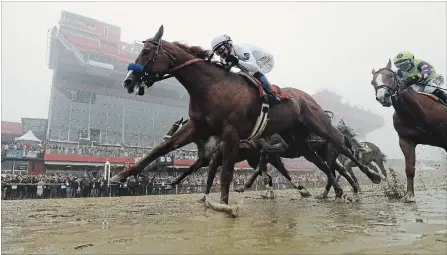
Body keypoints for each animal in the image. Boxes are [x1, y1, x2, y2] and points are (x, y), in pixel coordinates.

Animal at [112, 25, 382, 207]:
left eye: (147, 52)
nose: (128, 81)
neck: (211, 86)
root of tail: (307, 97)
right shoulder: (198, 127)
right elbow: (160, 150)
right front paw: (121, 175)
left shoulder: (230, 134)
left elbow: (226, 172)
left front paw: (223, 204)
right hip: (297, 139)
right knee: (323, 163)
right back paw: (336, 191)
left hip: (320, 126)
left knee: (343, 149)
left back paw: (371, 176)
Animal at [372, 59, 447, 203]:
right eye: (373, 82)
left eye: (391, 76)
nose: (383, 97)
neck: (417, 114)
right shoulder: (406, 140)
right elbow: (409, 169)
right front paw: (410, 195)